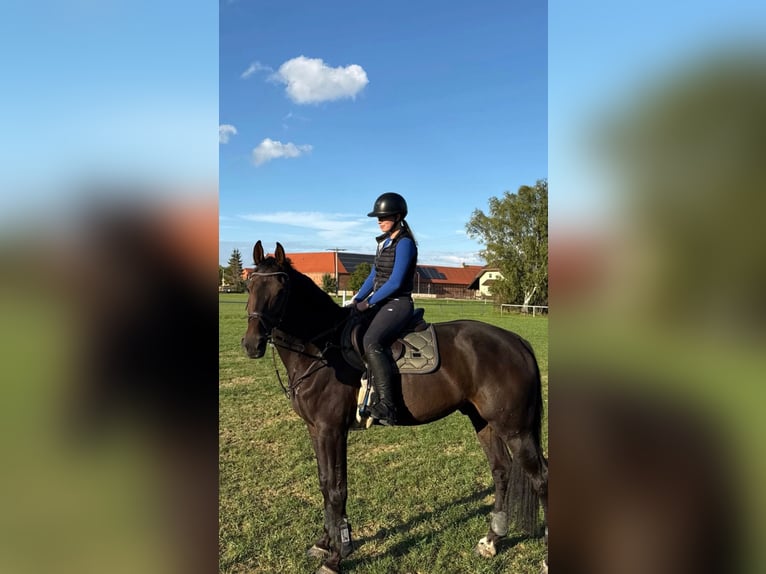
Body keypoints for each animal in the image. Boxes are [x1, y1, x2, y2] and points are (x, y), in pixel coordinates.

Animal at [241, 241, 548, 574]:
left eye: (281, 289)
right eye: (250, 284)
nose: (252, 344)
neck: (323, 349)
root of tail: (516, 341)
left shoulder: (331, 430)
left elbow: (337, 489)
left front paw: (337, 555)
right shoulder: (316, 430)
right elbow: (324, 483)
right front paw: (324, 543)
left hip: (515, 429)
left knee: (540, 478)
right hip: (485, 422)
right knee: (501, 471)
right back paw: (491, 540)